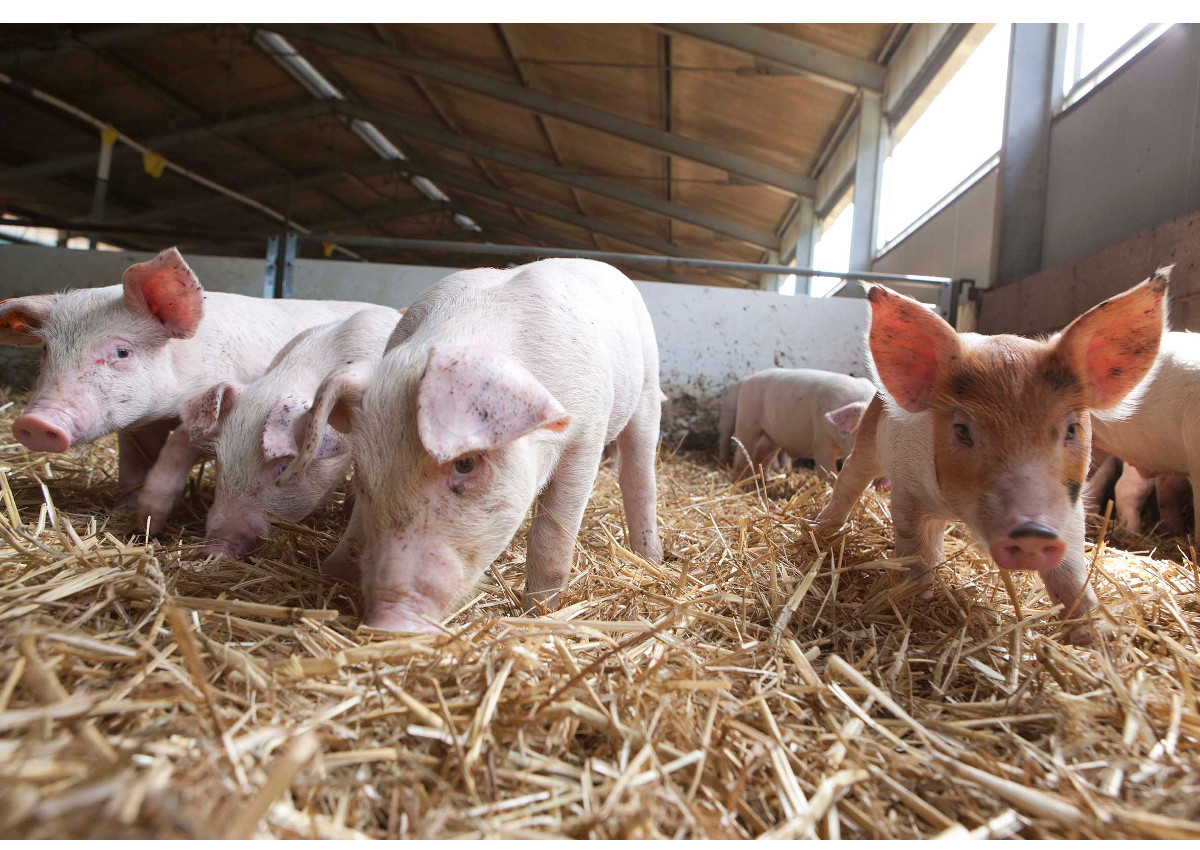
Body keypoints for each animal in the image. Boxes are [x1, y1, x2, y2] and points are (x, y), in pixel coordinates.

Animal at [0, 246, 369, 511]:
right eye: (46, 349)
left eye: (122, 352)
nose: (35, 422)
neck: (162, 412)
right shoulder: (136, 427)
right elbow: (131, 467)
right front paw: (128, 513)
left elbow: (178, 449)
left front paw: (151, 514)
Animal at [278, 259, 667, 629]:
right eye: (361, 470)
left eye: (465, 463)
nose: (388, 620)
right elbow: (359, 524)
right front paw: (332, 573)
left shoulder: (585, 437)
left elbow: (551, 537)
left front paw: (536, 614)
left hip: (648, 387)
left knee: (639, 476)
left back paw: (651, 558)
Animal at [715, 367, 878, 482]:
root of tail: (746, 380)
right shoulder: (822, 439)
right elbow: (826, 469)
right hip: (745, 418)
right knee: (738, 446)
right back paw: (736, 475)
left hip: (771, 434)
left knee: (764, 451)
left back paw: (764, 477)